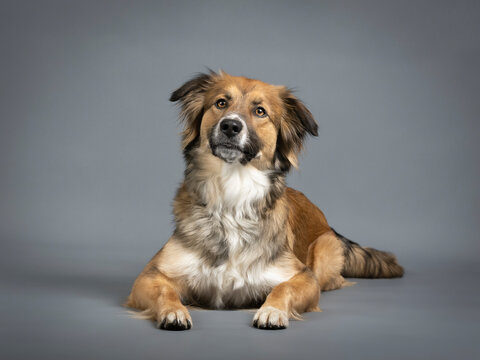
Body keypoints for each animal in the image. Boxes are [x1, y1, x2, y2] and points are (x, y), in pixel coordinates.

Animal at [125, 69, 404, 330]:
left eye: (260, 111)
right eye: (221, 103)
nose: (230, 126)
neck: (232, 191)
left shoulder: (304, 277)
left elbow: (283, 287)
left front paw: (272, 311)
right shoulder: (149, 275)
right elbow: (165, 290)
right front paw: (175, 311)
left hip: (326, 252)